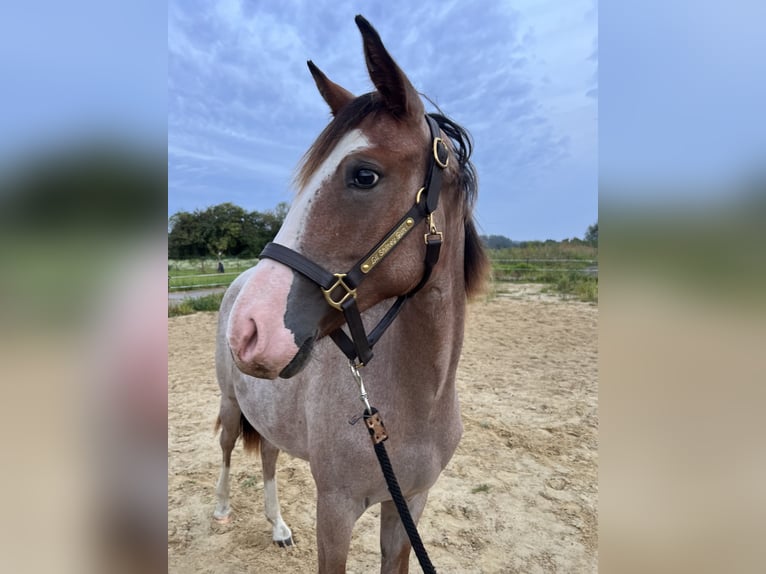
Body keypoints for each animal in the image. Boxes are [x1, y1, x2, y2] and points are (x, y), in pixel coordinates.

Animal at [214, 15, 489, 573]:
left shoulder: (408, 507)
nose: (250, 330)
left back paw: (278, 527)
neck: (414, 403)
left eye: (364, 175)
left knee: (269, 455)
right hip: (232, 403)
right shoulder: (336, 511)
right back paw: (223, 510)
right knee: (229, 447)